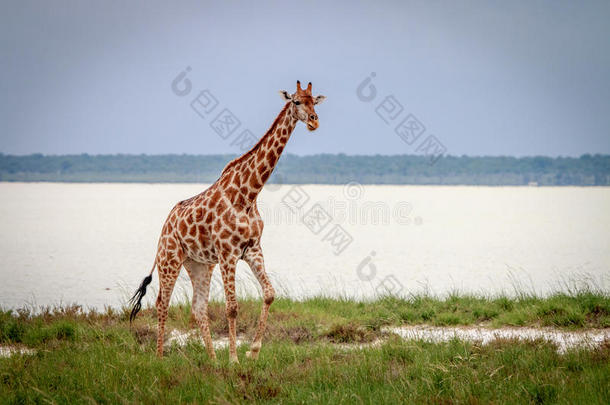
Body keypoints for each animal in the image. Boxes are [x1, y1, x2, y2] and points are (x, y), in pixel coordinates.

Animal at [129, 80, 326, 362]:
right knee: (161, 302)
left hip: (198, 264)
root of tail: (165, 225)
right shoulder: (227, 253)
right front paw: (233, 359)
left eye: (315, 102)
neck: (248, 194)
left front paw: (252, 351)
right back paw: (159, 357)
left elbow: (269, 294)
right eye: (297, 101)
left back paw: (212, 359)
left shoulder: (253, 249)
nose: (314, 121)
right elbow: (232, 307)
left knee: (198, 307)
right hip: (170, 258)